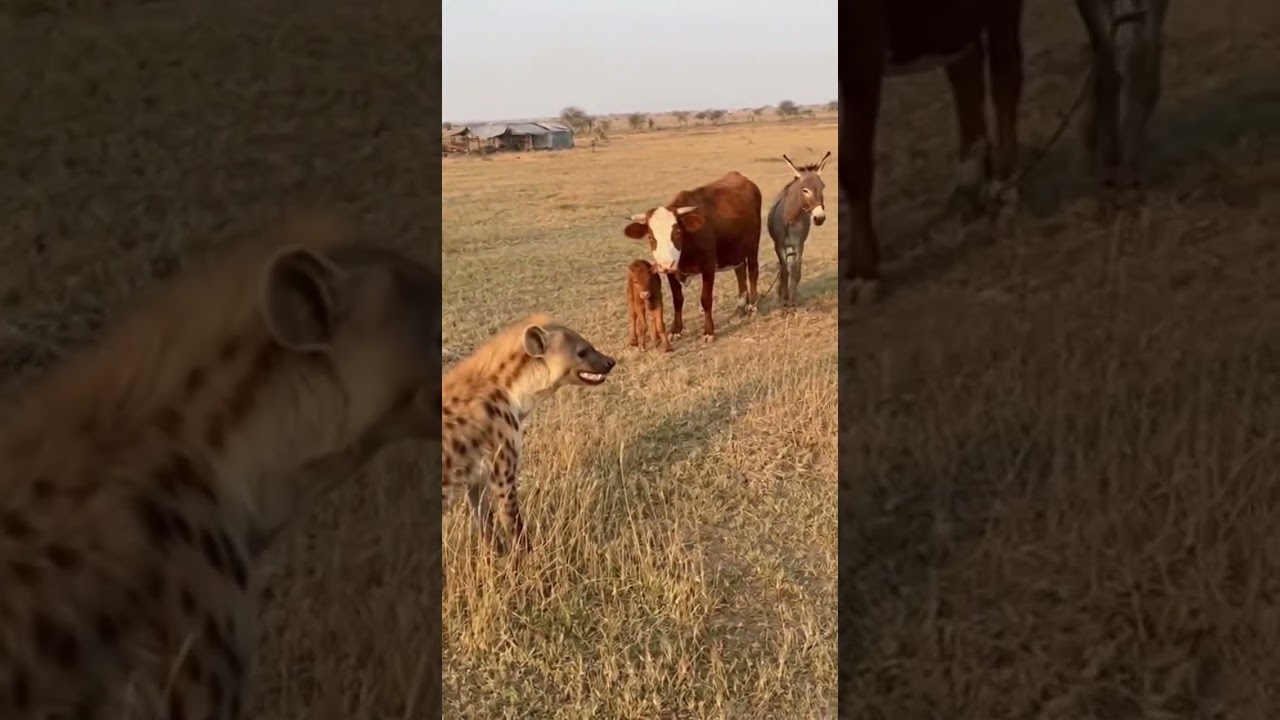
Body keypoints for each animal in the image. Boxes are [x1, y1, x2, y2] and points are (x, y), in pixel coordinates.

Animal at [624, 171, 763, 343]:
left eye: (677, 232)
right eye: (650, 237)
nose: (665, 264)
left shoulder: (708, 267)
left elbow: (706, 299)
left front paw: (709, 331)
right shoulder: (672, 272)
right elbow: (677, 300)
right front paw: (676, 330)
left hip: (753, 245)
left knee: (753, 272)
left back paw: (752, 306)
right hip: (736, 250)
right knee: (740, 271)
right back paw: (741, 305)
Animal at [841, 0, 1025, 304]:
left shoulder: (861, 50)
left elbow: (853, 165)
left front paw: (863, 273)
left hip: (1003, 11)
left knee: (1005, 74)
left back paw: (1003, 190)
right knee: (967, 69)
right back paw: (967, 191)